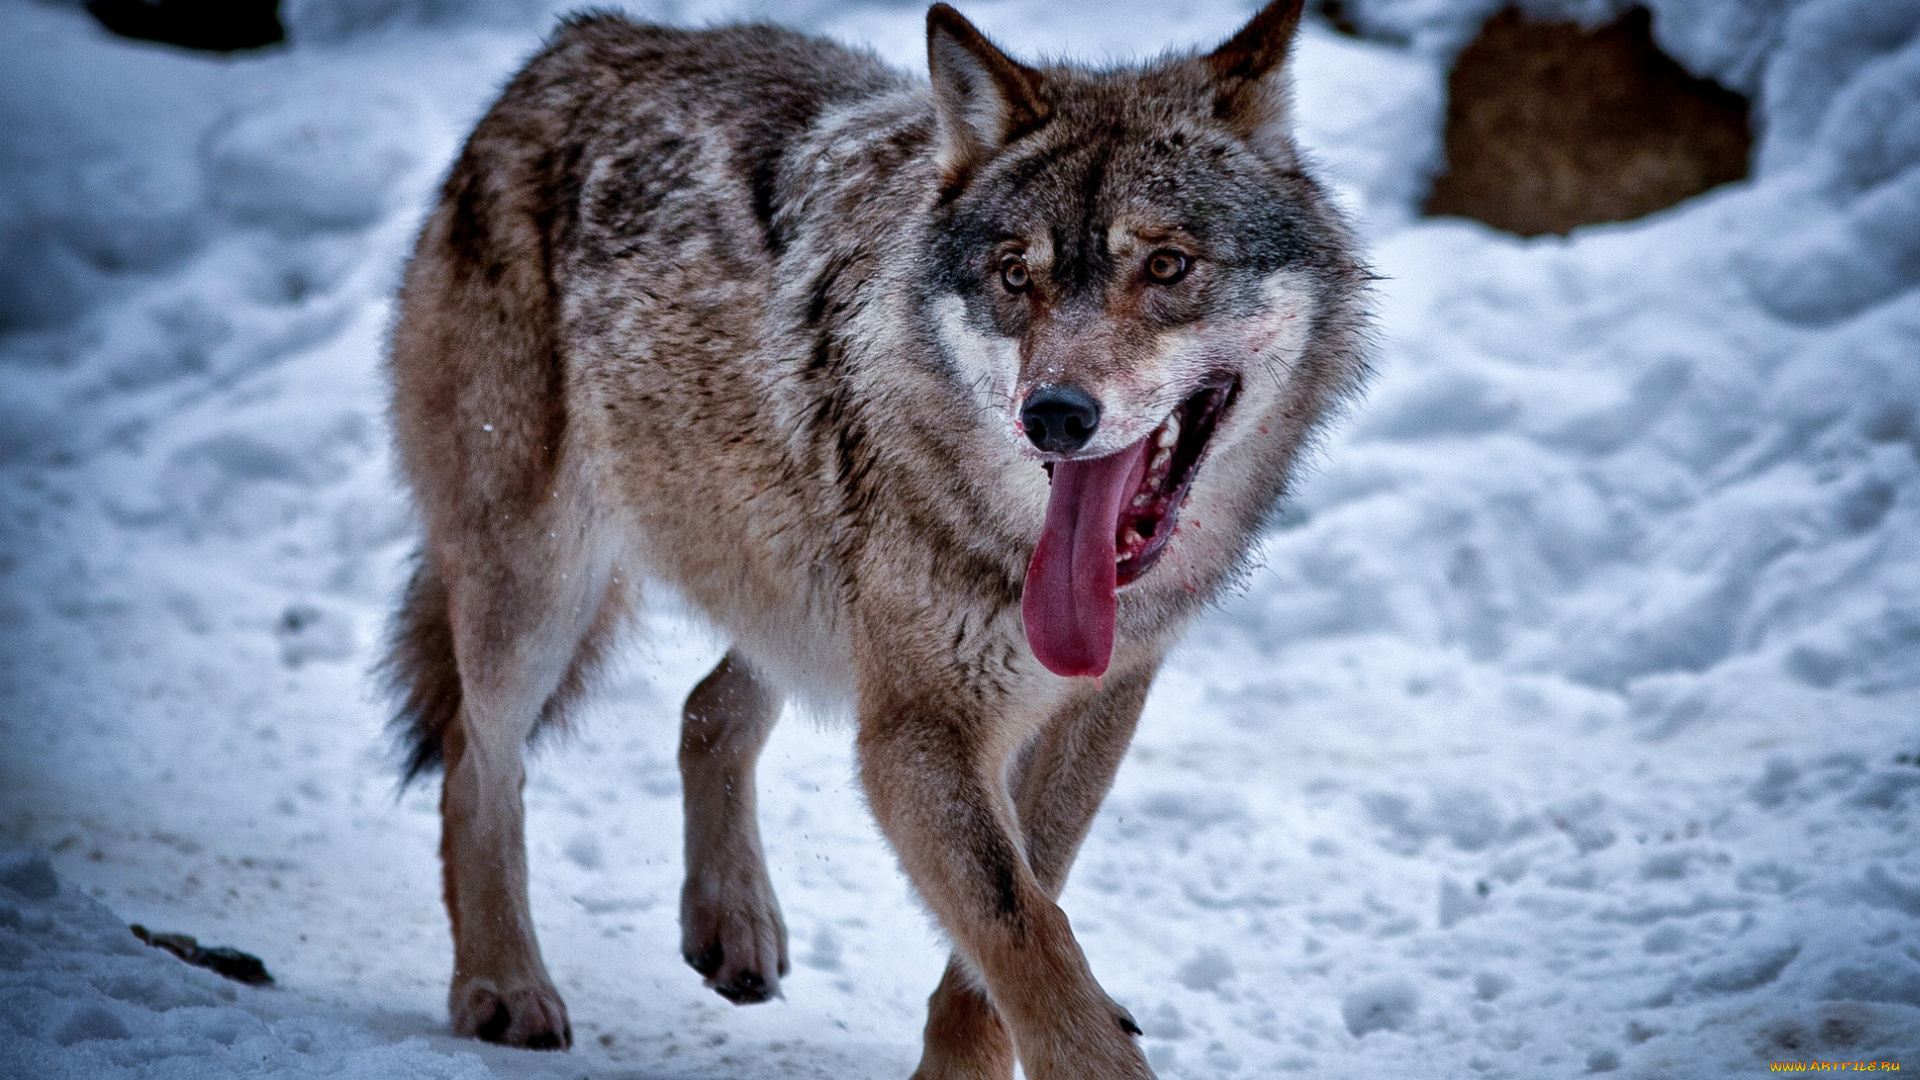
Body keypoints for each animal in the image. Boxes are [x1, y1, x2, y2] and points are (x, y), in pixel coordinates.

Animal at [378, 4, 1367, 1068]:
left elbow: (1015, 929)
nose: (1054, 415)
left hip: (795, 588)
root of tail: (569, 46)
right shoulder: (917, 730)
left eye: (1168, 265)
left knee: (704, 710)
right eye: (1014, 276)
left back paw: (732, 922)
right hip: (540, 594)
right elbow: (1025, 929)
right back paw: (502, 984)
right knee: (476, 766)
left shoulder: (1093, 706)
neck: (1012, 552)